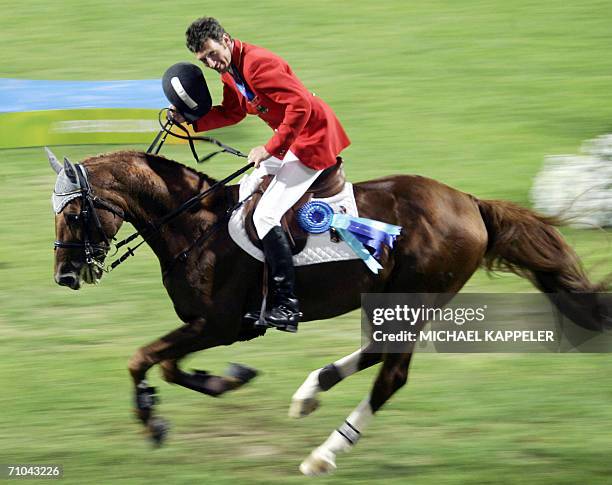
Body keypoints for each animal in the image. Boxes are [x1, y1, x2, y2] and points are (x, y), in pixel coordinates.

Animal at [50, 149, 608, 474]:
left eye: (75, 213)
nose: (65, 277)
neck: (195, 226)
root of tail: (470, 203)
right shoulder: (208, 327)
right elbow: (166, 364)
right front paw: (226, 380)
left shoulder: (220, 324)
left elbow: (143, 359)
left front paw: (151, 420)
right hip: (392, 300)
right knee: (377, 352)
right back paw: (311, 392)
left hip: (414, 299)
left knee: (392, 375)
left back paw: (323, 454)